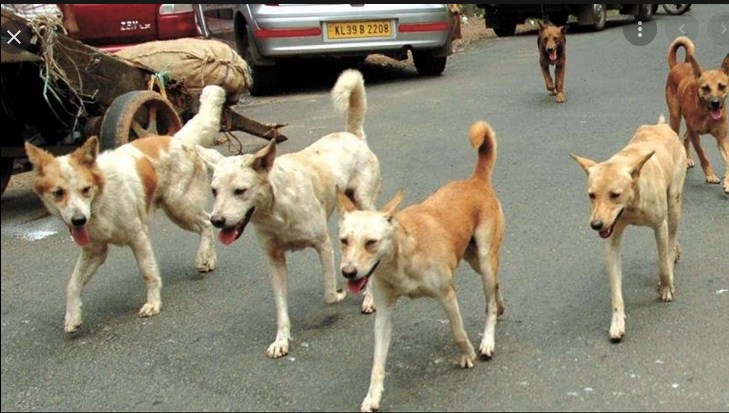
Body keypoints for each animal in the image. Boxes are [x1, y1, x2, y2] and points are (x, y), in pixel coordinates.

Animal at [24, 84, 225, 334]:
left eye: (85, 189)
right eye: (58, 193)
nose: (78, 221)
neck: (100, 201)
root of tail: (176, 139)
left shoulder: (138, 237)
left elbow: (148, 272)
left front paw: (153, 303)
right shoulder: (95, 250)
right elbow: (72, 284)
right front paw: (72, 317)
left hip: (178, 206)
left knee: (206, 223)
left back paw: (202, 257)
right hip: (178, 210)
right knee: (207, 221)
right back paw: (209, 260)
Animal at [196, 67, 384, 358]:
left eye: (240, 191)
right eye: (214, 191)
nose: (216, 221)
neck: (276, 209)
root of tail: (351, 135)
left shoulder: (323, 244)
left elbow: (329, 294)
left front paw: (341, 294)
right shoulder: (274, 260)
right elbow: (281, 309)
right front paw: (281, 340)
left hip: (364, 200)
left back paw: (369, 298)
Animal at [336, 120, 504, 410]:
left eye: (371, 243)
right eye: (344, 241)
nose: (348, 272)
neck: (401, 259)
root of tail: (475, 181)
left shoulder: (447, 295)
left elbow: (458, 332)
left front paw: (468, 353)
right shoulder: (384, 312)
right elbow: (378, 361)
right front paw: (372, 395)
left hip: (484, 259)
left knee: (490, 300)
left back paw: (487, 340)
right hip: (473, 259)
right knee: (496, 287)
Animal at [572, 115, 684, 342]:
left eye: (615, 195)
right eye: (591, 195)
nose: (596, 225)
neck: (632, 202)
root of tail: (661, 126)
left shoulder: (659, 227)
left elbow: (662, 263)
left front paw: (666, 285)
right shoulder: (612, 240)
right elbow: (616, 291)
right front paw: (617, 321)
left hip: (674, 203)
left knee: (671, 238)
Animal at [664, 34, 728, 192]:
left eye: (722, 86)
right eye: (705, 88)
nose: (715, 103)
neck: (706, 113)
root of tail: (679, 65)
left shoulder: (722, 137)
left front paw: (728, 182)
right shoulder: (695, 135)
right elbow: (703, 156)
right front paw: (710, 175)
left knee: (685, 137)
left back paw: (687, 159)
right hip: (675, 117)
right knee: (680, 136)